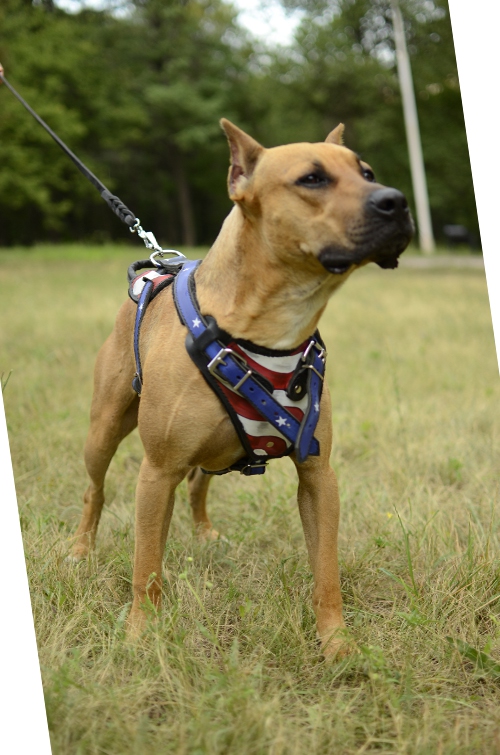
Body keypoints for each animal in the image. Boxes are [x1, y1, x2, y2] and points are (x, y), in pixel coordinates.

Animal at [70, 121, 414, 660]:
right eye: (312, 178)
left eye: (368, 173)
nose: (396, 201)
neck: (269, 327)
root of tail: (155, 272)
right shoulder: (157, 470)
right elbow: (146, 567)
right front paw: (141, 635)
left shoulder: (318, 475)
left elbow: (327, 571)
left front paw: (336, 643)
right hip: (104, 430)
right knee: (95, 490)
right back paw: (81, 549)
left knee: (197, 483)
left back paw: (205, 535)